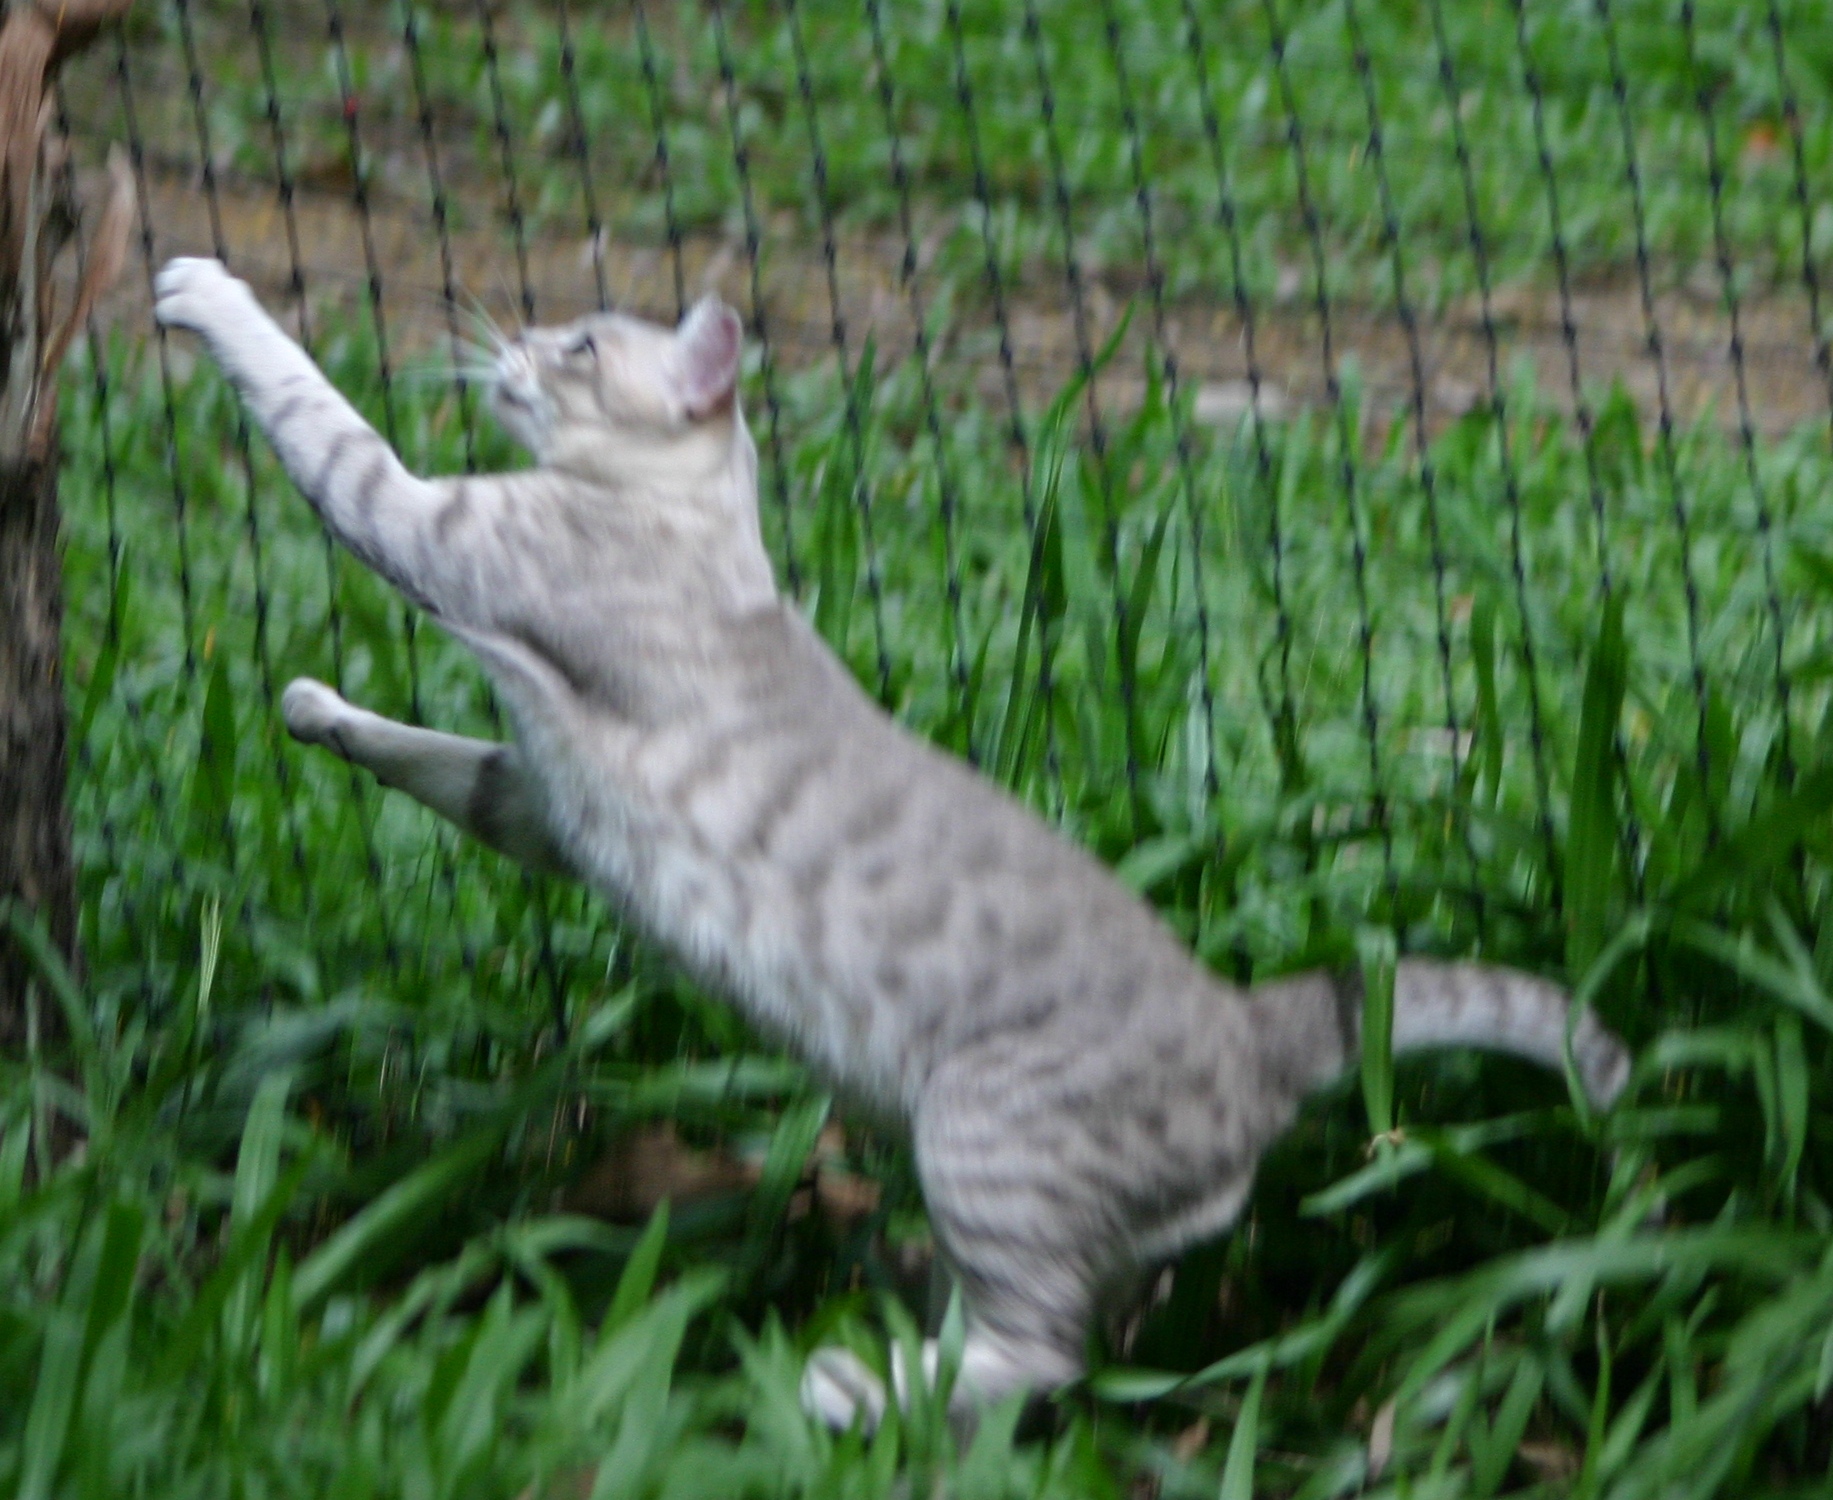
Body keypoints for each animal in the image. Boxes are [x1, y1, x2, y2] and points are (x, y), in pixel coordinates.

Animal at [153, 255, 1630, 1429]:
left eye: (580, 349)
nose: (512, 342)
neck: (700, 520)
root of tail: (1253, 1028)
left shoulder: (434, 528)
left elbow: (317, 416)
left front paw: (201, 289)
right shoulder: (544, 807)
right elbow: (426, 755)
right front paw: (315, 706)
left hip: (977, 1141)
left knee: (1039, 1356)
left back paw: (847, 1388)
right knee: (1095, 1328)